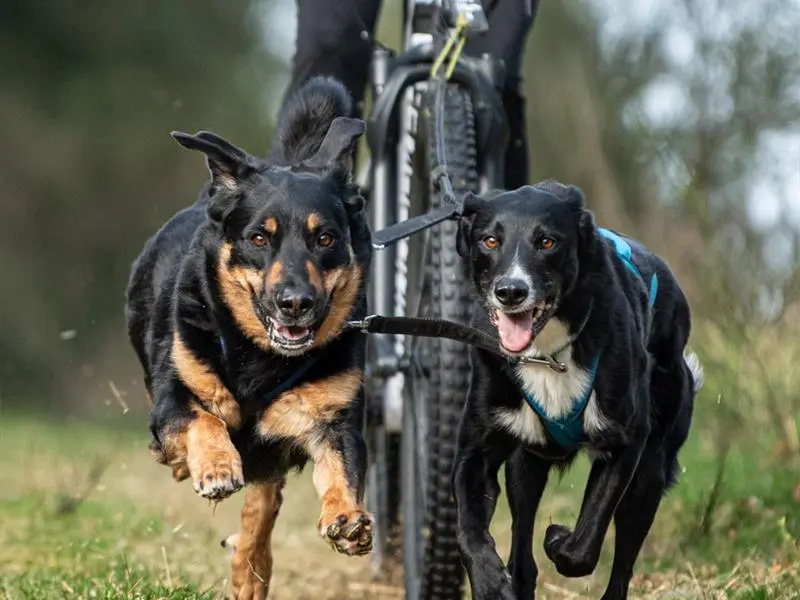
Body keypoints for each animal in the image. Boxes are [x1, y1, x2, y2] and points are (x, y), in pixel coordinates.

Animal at [125, 77, 376, 596]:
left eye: (325, 238)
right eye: (260, 238)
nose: (296, 302)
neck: (262, 357)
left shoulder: (333, 418)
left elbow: (341, 468)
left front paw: (346, 518)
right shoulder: (175, 396)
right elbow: (204, 419)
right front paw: (217, 466)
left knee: (263, 505)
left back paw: (250, 570)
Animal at [454, 183, 704, 600]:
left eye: (547, 242)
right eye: (489, 240)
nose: (510, 291)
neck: (546, 354)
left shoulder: (626, 440)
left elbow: (585, 543)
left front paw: (559, 539)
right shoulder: (477, 451)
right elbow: (468, 530)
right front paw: (490, 584)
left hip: (649, 473)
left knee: (621, 567)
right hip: (525, 466)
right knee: (522, 550)